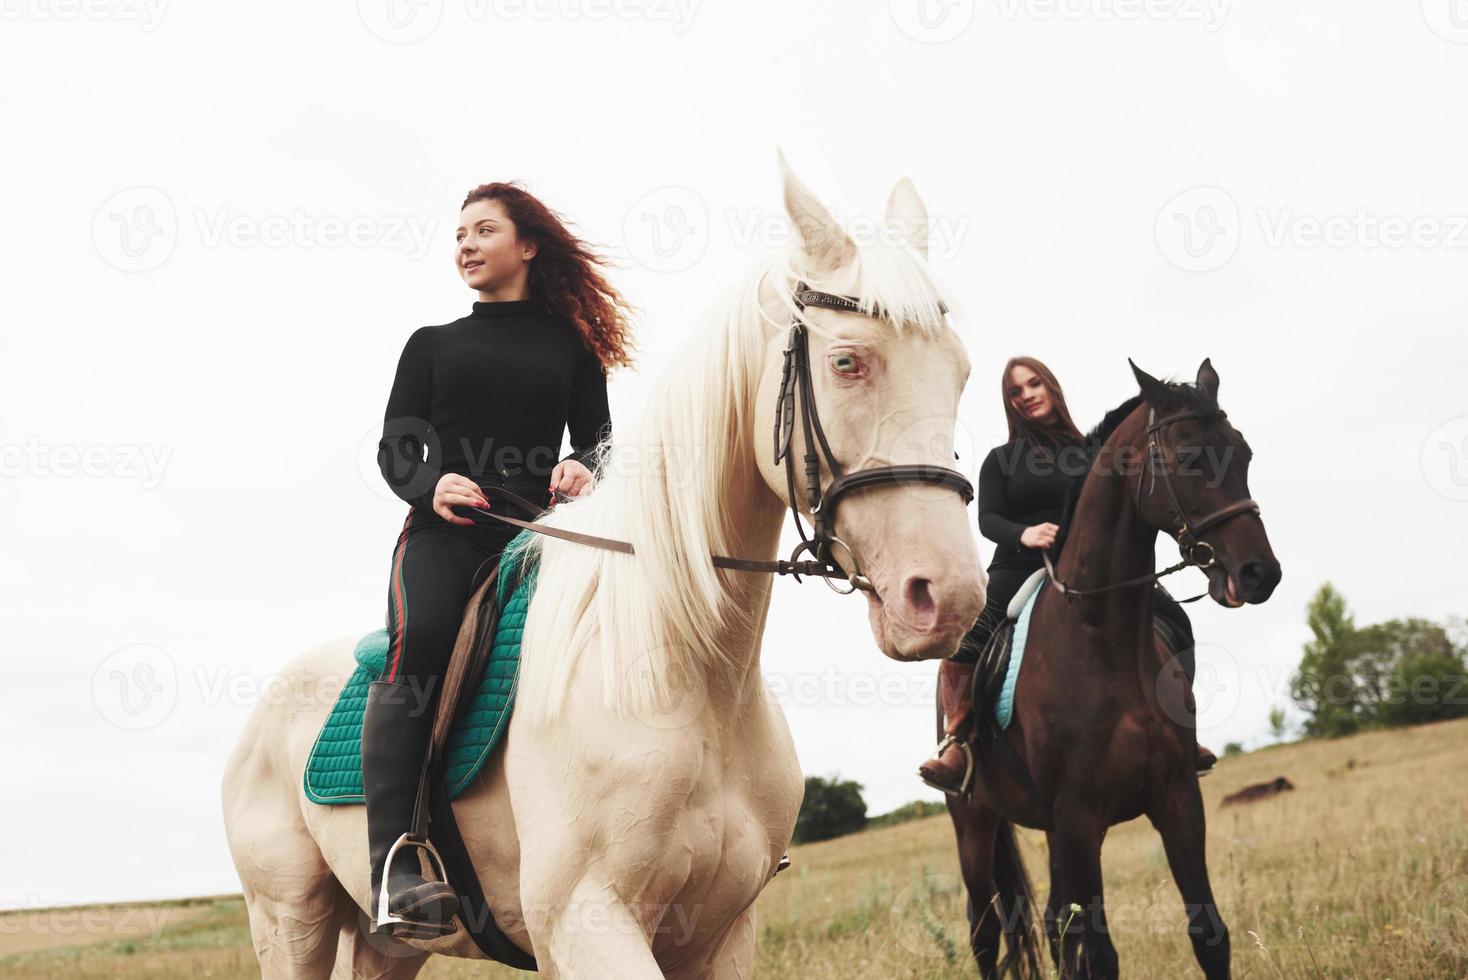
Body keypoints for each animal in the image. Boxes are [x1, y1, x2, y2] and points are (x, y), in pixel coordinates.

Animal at [220, 156, 986, 974]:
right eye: (847, 362)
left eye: (962, 372)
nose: (946, 597)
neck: (688, 676)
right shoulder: (587, 921)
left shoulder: (719, 933)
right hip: (290, 918)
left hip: (383, 944)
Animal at [945, 359, 1280, 979]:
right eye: (1189, 458)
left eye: (1244, 453)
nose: (1258, 573)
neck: (1102, 640)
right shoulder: (1080, 818)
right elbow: (1100, 955)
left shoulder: (1176, 799)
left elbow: (1209, 935)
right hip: (974, 825)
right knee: (984, 931)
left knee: (1055, 924)